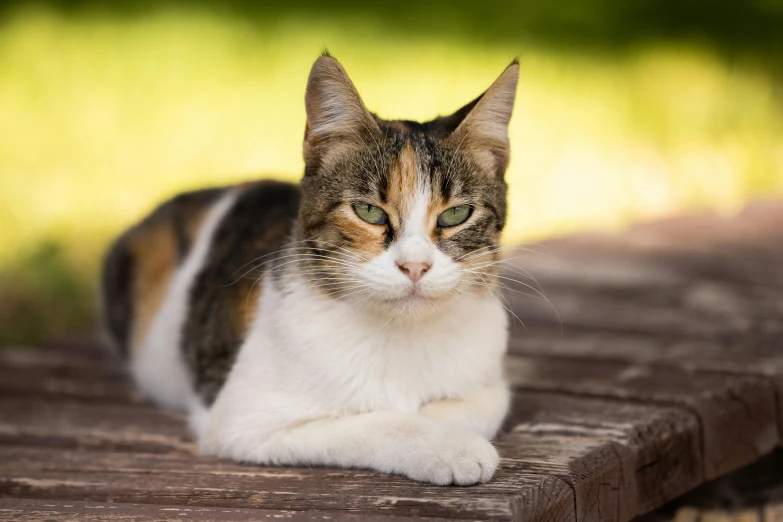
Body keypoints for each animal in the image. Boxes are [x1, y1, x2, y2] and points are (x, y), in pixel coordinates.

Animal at [104, 52, 520, 484]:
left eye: (456, 215)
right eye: (368, 211)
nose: (415, 266)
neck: (400, 335)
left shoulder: (490, 384)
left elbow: (473, 407)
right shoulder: (242, 422)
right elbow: (375, 421)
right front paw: (450, 446)